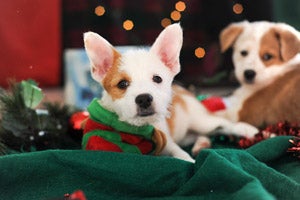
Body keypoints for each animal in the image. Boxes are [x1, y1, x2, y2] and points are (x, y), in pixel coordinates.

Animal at [82, 23, 258, 162]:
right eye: (122, 84)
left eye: (157, 79)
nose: (144, 99)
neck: (139, 128)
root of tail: (185, 91)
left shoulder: (169, 142)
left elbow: (179, 154)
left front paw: (190, 162)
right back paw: (201, 143)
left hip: (201, 120)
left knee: (224, 124)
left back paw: (246, 129)